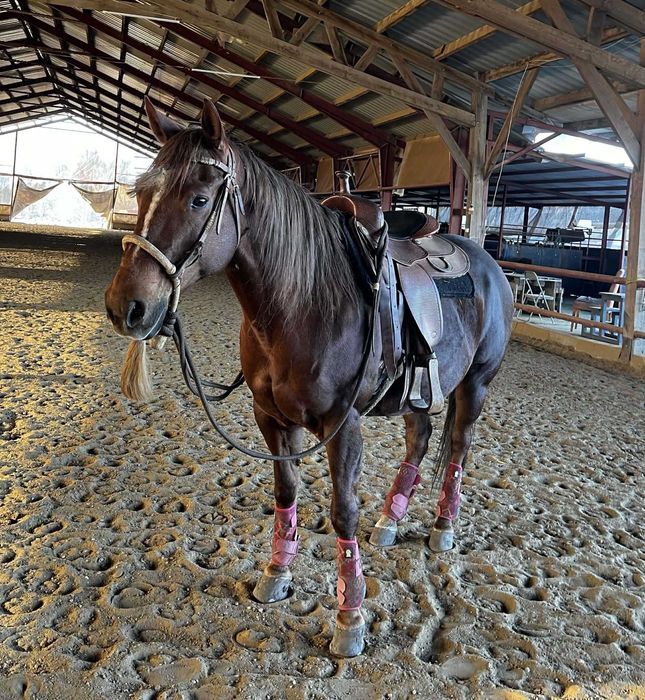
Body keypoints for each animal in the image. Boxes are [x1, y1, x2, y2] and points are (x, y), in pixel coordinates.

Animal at [105, 98, 514, 658]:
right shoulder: (272, 419)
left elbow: (343, 511)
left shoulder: (344, 427)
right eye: (141, 193)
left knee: (458, 447)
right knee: (420, 440)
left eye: (199, 199)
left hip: (476, 385)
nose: (126, 306)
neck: (303, 303)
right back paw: (391, 521)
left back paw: (443, 527)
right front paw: (276, 573)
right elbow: (285, 493)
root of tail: (485, 257)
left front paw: (350, 616)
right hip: (419, 391)